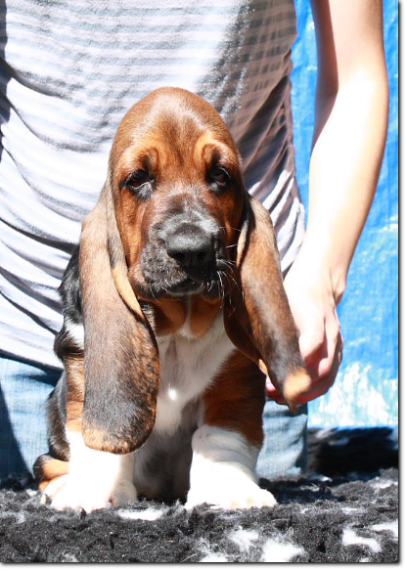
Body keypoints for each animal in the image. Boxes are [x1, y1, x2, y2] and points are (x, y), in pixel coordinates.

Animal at [35, 87, 310, 512]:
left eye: (220, 175)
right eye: (138, 179)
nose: (191, 249)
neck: (179, 323)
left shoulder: (236, 379)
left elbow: (222, 436)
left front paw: (228, 489)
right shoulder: (81, 361)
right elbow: (95, 439)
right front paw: (95, 490)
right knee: (48, 464)